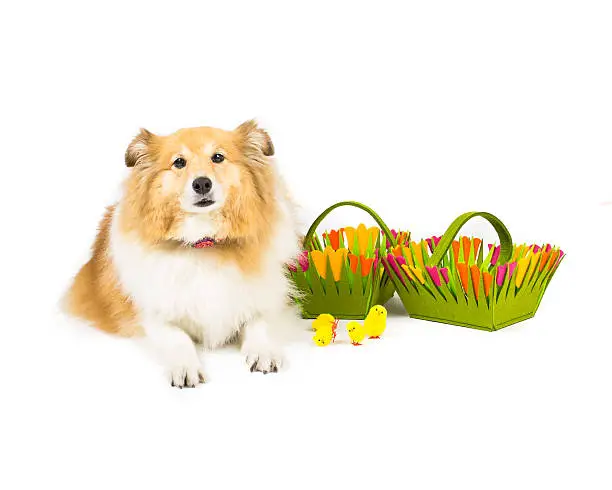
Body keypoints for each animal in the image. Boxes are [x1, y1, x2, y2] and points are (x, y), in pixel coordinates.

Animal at [66, 121, 302, 386]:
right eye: (179, 162)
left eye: (218, 157)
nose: (202, 183)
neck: (203, 241)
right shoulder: (153, 316)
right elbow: (177, 337)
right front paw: (185, 367)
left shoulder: (268, 301)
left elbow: (259, 323)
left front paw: (264, 352)